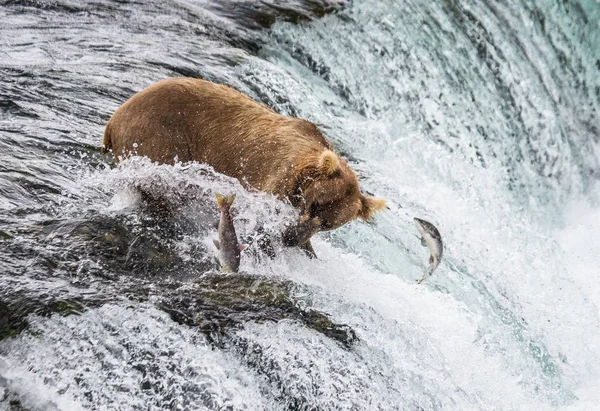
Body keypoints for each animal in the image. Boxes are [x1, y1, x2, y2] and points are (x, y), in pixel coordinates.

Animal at [102, 77, 384, 251]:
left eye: (328, 224)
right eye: (314, 205)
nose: (290, 238)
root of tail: (115, 118)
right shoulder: (274, 178)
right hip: (157, 137)